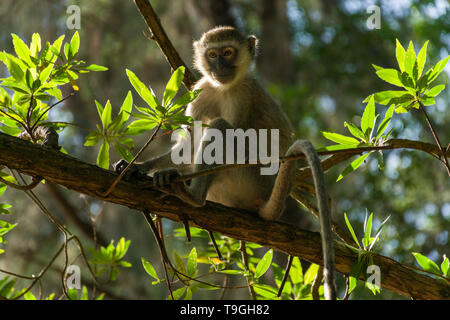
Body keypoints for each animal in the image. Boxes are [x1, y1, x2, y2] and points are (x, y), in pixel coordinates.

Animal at [115, 26, 334, 298]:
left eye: (228, 52)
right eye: (212, 54)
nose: (219, 65)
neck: (223, 88)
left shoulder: (243, 94)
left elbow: (233, 134)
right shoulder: (201, 91)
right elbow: (189, 144)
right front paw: (139, 167)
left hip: (248, 179)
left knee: (220, 128)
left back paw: (193, 196)